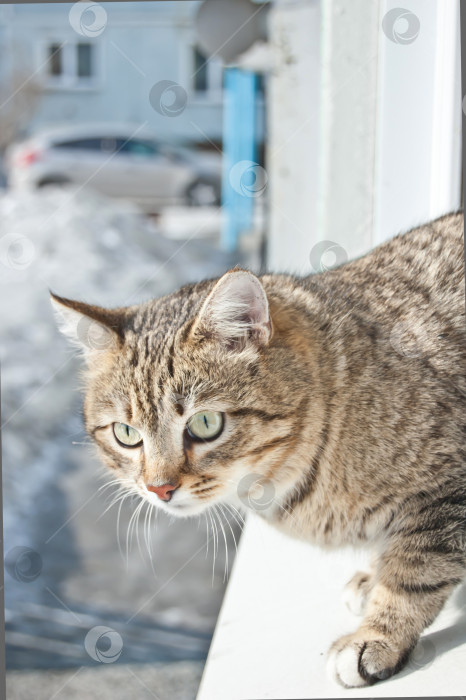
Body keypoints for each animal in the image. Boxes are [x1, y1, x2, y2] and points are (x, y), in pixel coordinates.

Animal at [52, 212, 464, 684]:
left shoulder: (447, 489)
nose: (159, 489)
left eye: (205, 424)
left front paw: (377, 636)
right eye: (125, 433)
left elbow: (414, 574)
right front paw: (373, 578)